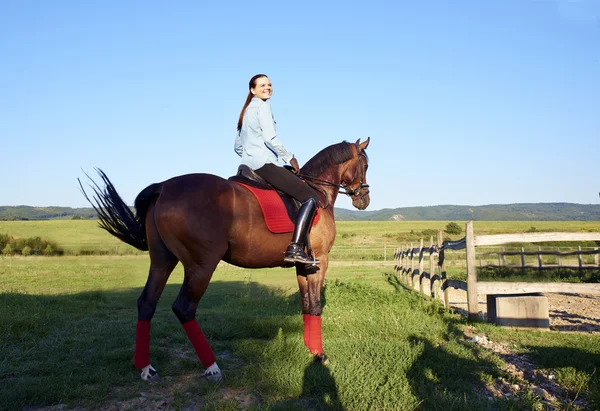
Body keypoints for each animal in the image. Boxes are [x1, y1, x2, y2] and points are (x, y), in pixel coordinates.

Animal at [79, 138, 370, 384]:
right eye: (365, 165)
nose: (364, 199)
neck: (317, 191)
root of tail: (163, 187)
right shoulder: (321, 261)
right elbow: (316, 305)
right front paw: (320, 355)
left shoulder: (304, 265)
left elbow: (308, 304)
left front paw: (311, 351)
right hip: (201, 265)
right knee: (184, 308)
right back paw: (212, 367)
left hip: (162, 261)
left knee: (146, 303)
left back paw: (146, 368)